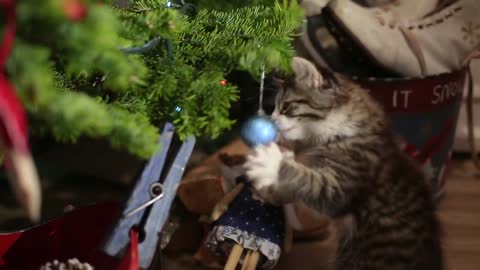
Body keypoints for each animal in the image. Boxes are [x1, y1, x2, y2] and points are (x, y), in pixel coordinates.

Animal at [246, 57, 444, 270]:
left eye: (285, 107)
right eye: (273, 107)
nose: (271, 120)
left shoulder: (338, 188)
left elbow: (303, 178)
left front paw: (270, 162)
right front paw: (265, 190)